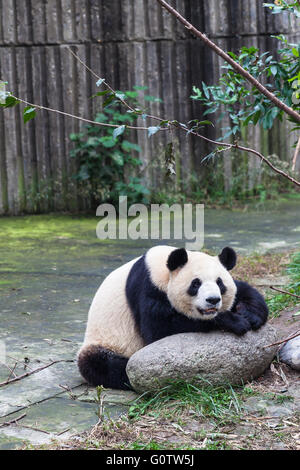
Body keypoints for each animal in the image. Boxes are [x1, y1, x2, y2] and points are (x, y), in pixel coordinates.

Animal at [77, 246, 268, 390]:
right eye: (196, 284)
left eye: (220, 283)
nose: (213, 300)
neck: (161, 267)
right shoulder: (147, 287)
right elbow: (159, 330)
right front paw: (234, 321)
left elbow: (245, 290)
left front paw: (249, 314)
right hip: (105, 342)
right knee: (100, 364)